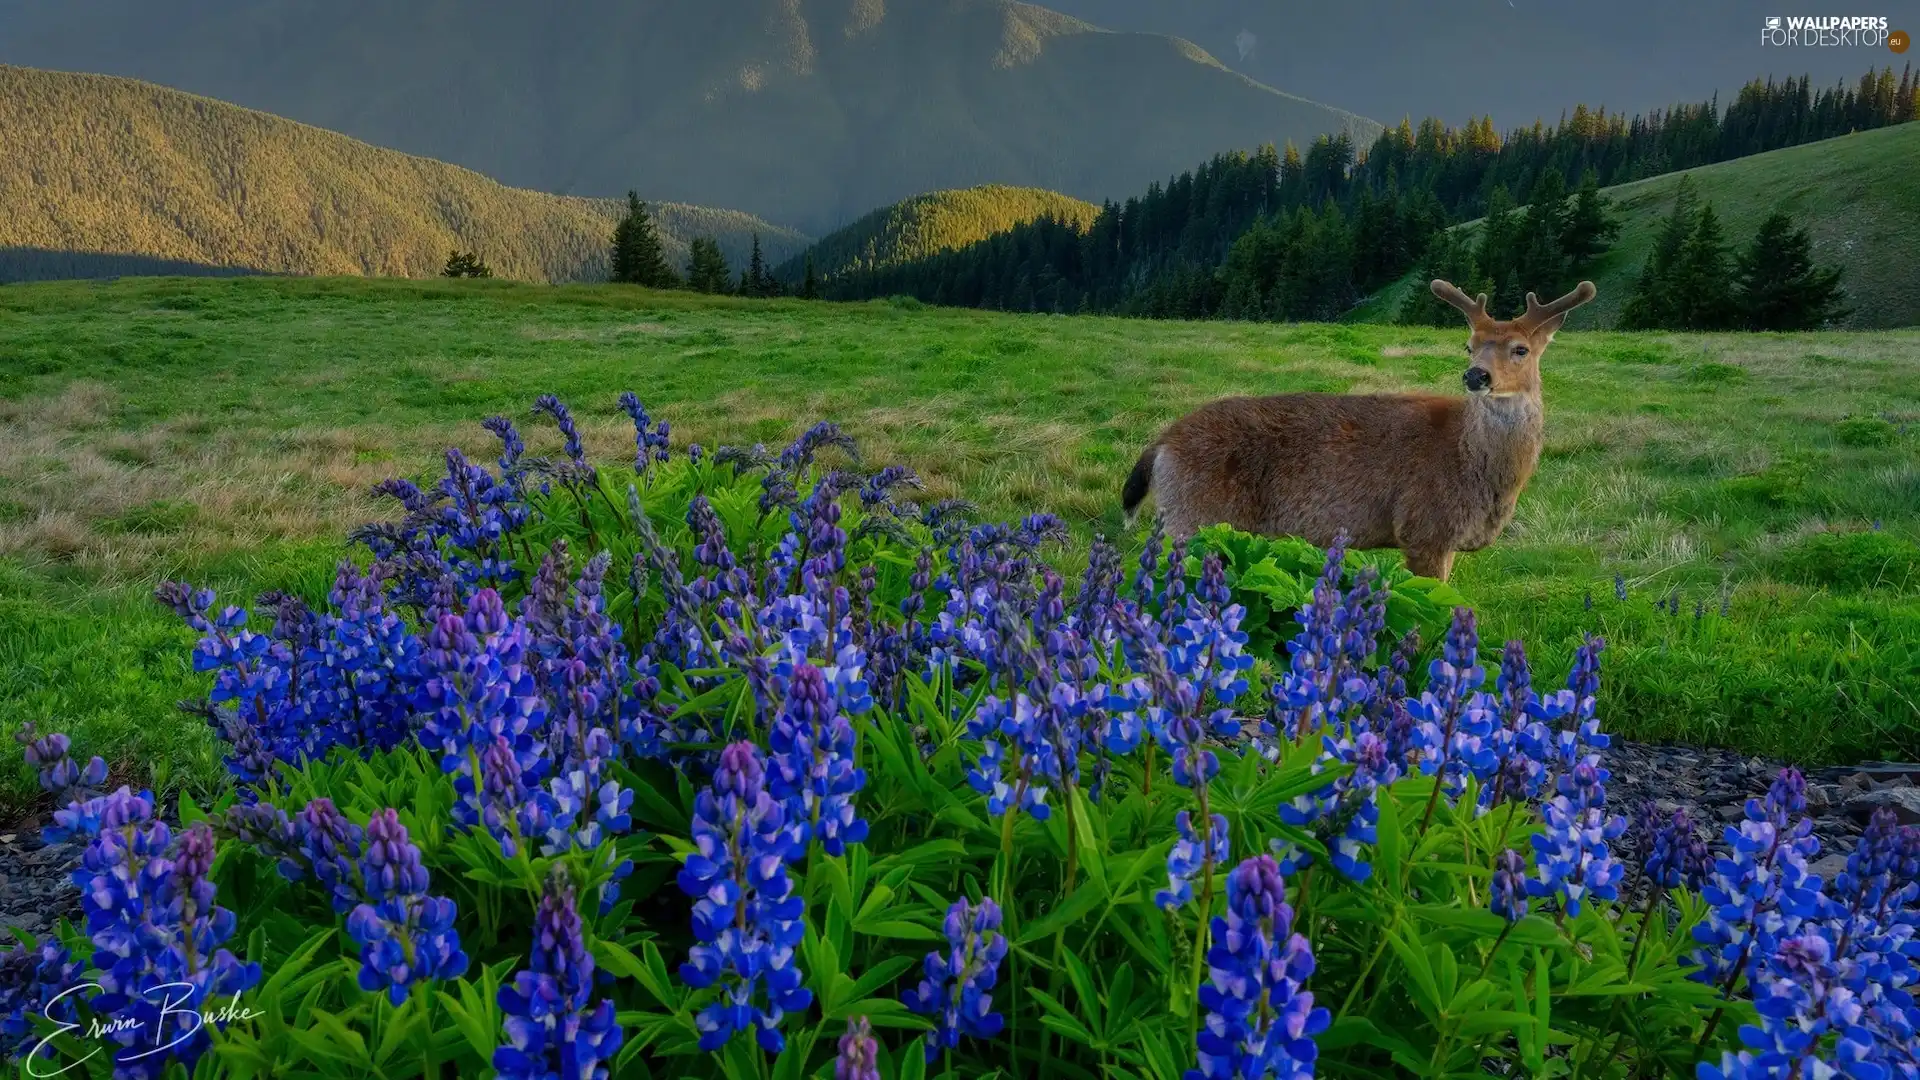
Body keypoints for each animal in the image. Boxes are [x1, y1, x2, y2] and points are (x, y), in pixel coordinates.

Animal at [1121, 276, 1597, 580]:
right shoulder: (1424, 527)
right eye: (1470, 345)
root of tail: (1160, 445)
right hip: (1193, 516)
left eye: (1521, 349)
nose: (1476, 375)